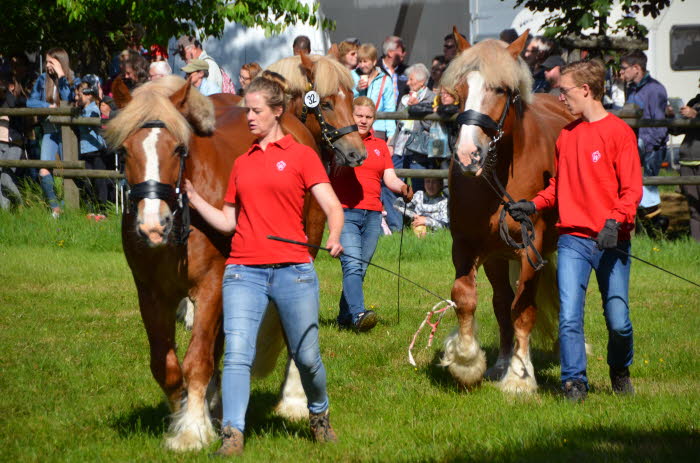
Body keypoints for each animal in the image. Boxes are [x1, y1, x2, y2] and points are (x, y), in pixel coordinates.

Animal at [440, 31, 576, 396]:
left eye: (500, 89)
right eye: (459, 90)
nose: (467, 154)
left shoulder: (531, 249)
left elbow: (524, 310)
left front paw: (519, 378)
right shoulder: (466, 246)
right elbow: (466, 298)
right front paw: (467, 362)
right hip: (498, 258)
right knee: (501, 303)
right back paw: (500, 362)